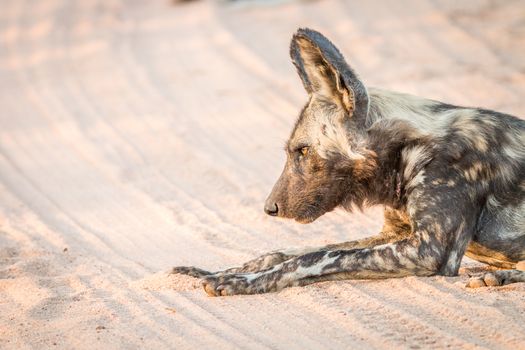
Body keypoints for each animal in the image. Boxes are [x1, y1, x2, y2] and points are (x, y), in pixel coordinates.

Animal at [173, 28, 524, 296]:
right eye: (292, 151)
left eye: (302, 151)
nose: (269, 208)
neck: (405, 149)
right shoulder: (394, 235)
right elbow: (289, 251)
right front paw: (217, 271)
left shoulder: (429, 250)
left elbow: (313, 257)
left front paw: (240, 281)